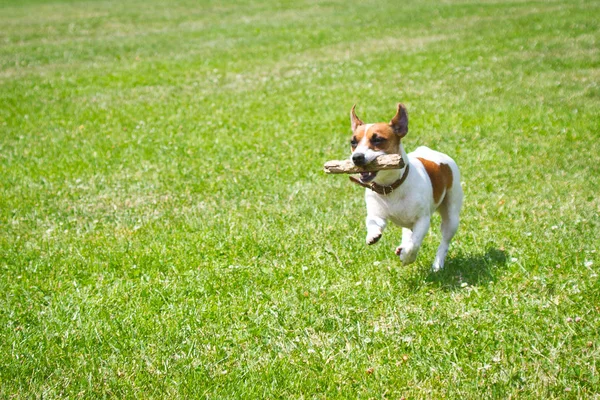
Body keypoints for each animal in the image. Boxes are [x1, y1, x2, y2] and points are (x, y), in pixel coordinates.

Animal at [346, 103, 464, 272]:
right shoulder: (377, 212)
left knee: (444, 240)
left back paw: (437, 264)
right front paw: (372, 234)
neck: (390, 187)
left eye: (378, 140)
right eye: (353, 142)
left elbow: (415, 243)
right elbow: (373, 222)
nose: (356, 157)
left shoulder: (422, 220)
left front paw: (408, 256)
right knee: (408, 232)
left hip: (451, 215)